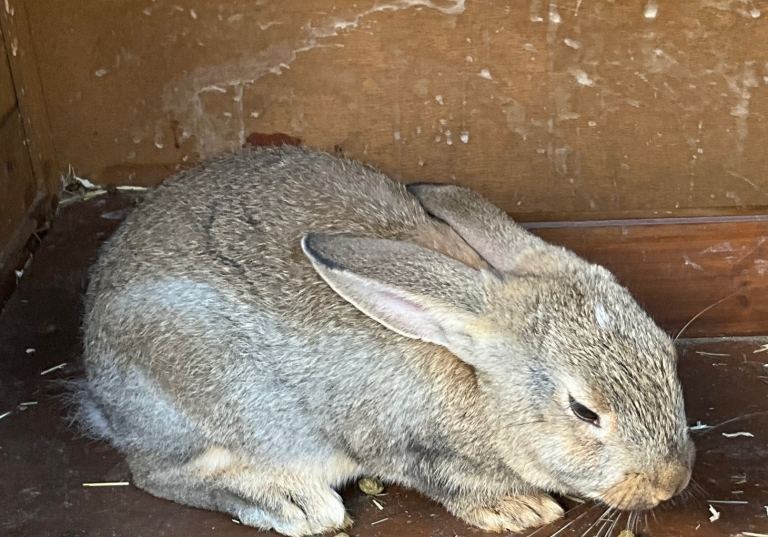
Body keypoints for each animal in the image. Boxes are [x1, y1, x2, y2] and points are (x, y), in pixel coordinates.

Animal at [77, 145, 694, 536]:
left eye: (668, 354)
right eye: (584, 411)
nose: (671, 481)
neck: (476, 378)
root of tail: (100, 389)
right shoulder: (399, 444)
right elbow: (442, 478)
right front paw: (518, 510)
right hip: (208, 394)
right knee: (159, 474)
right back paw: (297, 504)